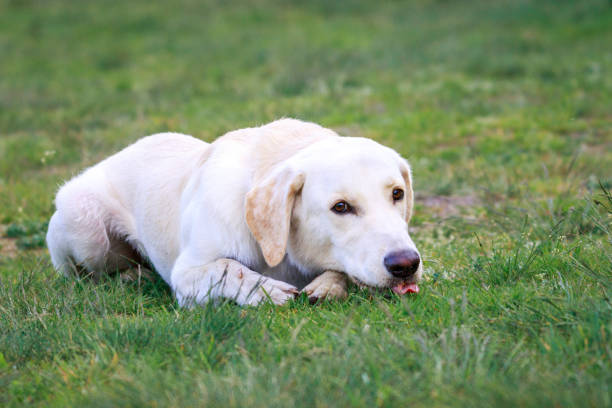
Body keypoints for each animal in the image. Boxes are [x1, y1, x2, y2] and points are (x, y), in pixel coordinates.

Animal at [46, 118, 420, 306]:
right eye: (340, 207)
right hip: (85, 228)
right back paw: (132, 275)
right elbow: (229, 268)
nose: (406, 265)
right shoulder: (187, 274)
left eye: (397, 194)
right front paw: (267, 290)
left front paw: (328, 285)